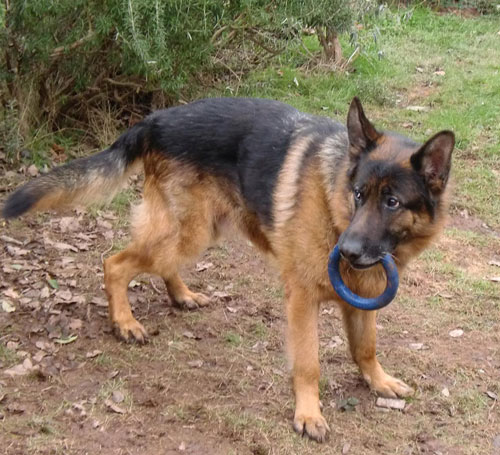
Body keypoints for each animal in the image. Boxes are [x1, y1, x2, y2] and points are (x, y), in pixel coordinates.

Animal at [1, 99, 454, 442]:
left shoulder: (363, 296)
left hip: (201, 229)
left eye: (392, 202)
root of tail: (155, 120)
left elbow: (366, 347)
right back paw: (125, 322)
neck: (334, 202)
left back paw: (181, 295)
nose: (348, 250)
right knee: (114, 264)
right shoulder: (302, 300)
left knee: (161, 264)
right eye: (359, 194)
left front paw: (379, 381)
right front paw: (308, 414)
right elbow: (308, 363)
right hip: (191, 230)